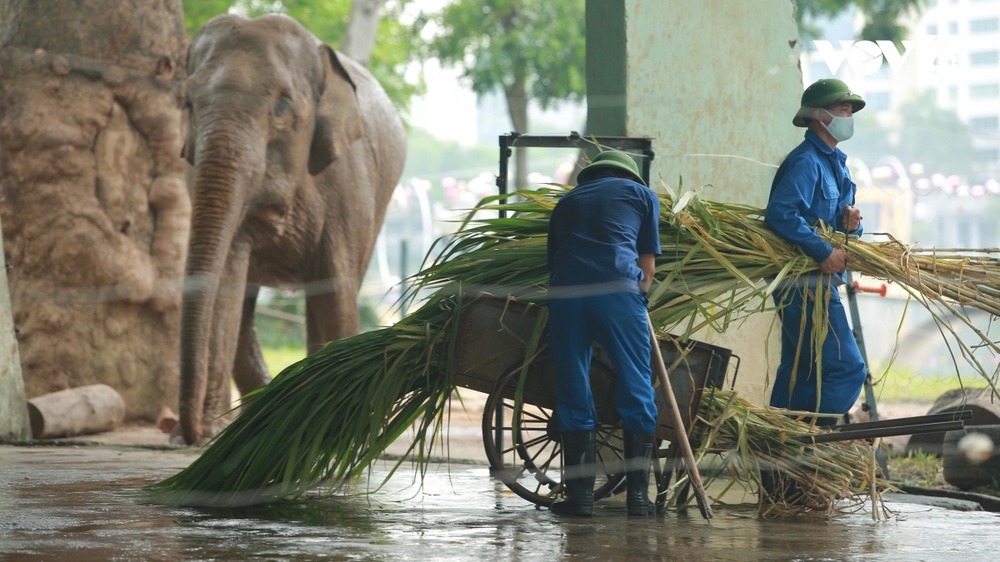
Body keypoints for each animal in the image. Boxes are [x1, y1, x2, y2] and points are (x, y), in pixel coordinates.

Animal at [177, 13, 406, 444]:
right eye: (187, 103)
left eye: (283, 106)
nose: (190, 433)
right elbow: (227, 289)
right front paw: (214, 434)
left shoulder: (348, 184)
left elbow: (335, 292)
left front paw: (343, 430)